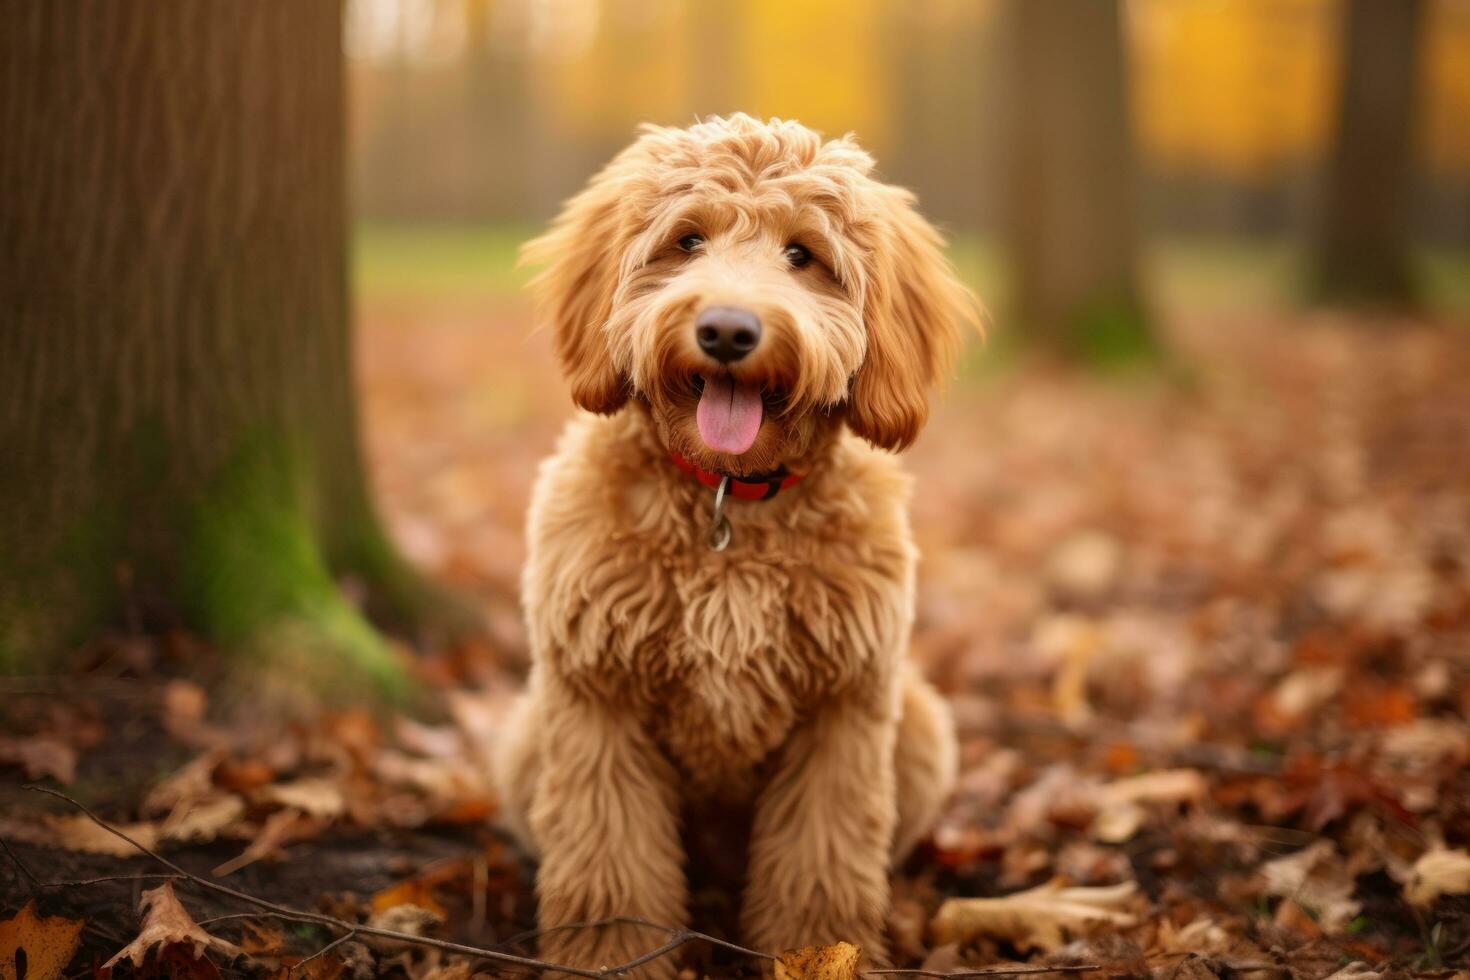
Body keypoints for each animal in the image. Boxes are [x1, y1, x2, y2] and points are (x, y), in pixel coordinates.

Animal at [496, 115, 976, 975]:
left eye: (803, 254)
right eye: (687, 240)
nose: (726, 329)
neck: (729, 501)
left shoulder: (844, 709)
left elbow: (823, 862)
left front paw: (820, 953)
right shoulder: (595, 697)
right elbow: (606, 859)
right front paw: (612, 954)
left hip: (919, 725)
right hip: (528, 736)